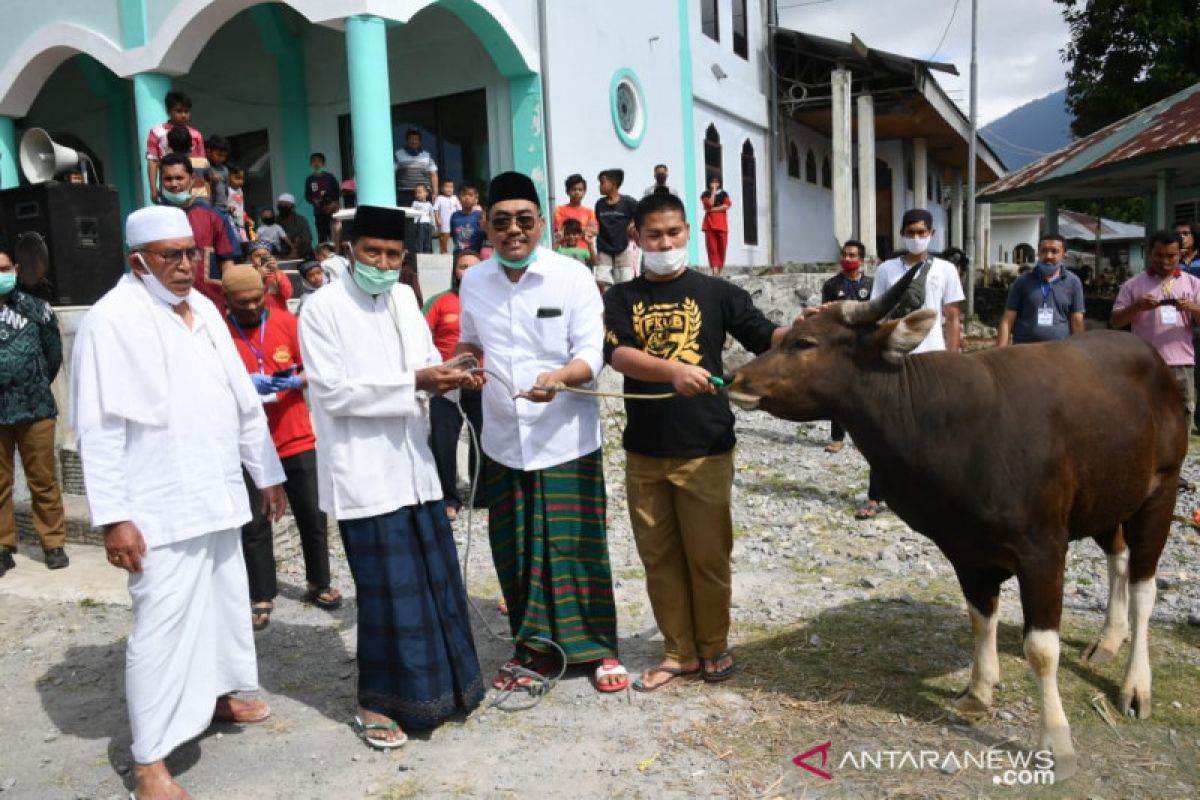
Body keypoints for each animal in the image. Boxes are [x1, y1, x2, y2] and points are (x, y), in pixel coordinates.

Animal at [724, 271, 1185, 782]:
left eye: (804, 342)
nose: (735, 379)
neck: (947, 425)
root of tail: (1155, 365)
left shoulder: (1043, 550)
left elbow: (1041, 648)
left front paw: (1056, 742)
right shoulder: (965, 549)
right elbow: (980, 618)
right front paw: (978, 691)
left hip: (1160, 493)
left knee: (1144, 586)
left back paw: (1135, 685)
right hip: (1110, 497)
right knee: (1117, 556)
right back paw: (1108, 638)